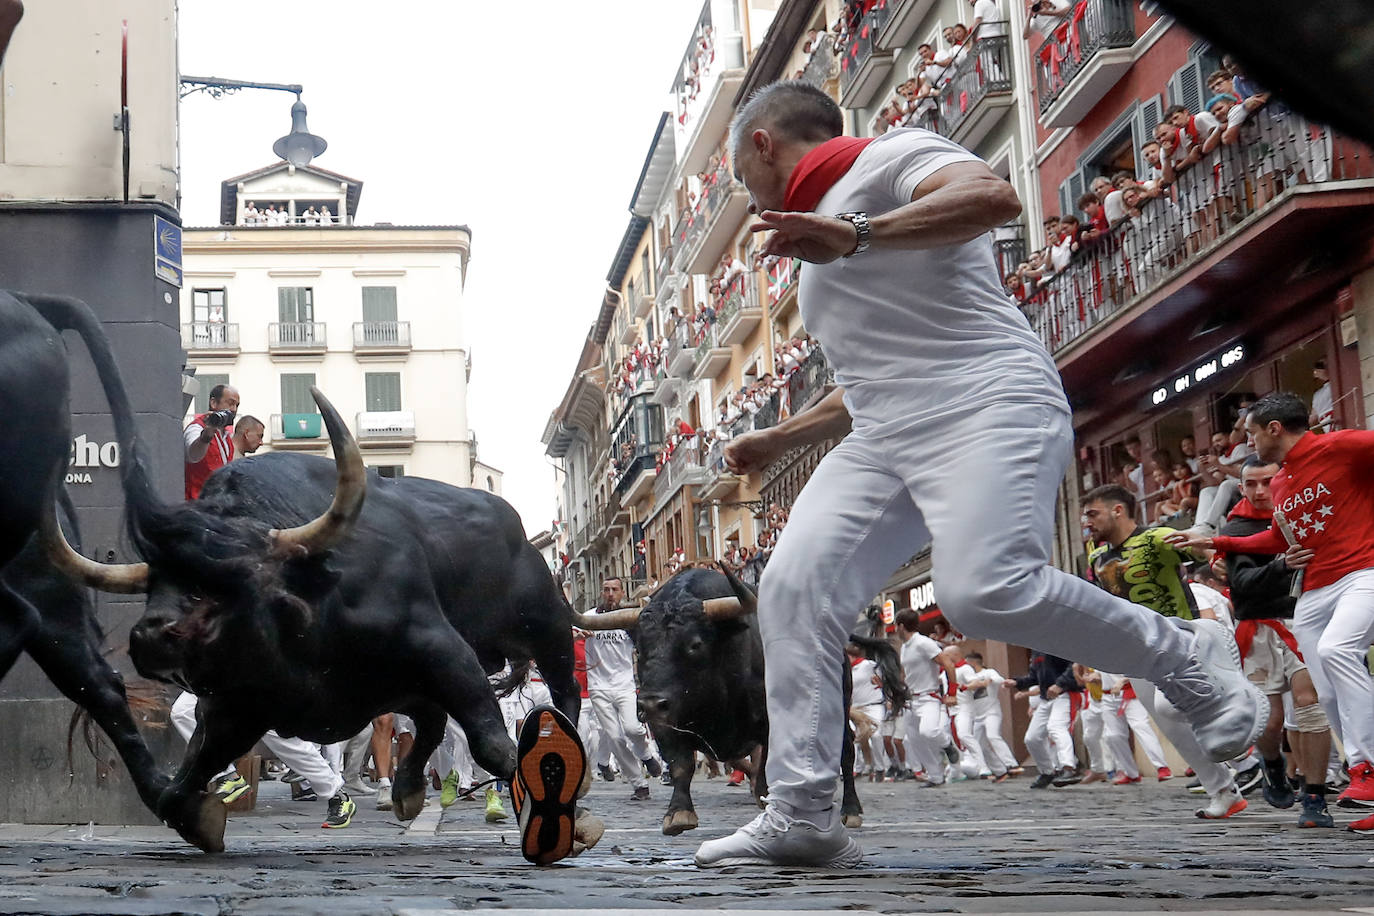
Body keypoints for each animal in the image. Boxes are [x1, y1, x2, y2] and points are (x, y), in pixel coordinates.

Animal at [574, 568, 906, 840]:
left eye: (695, 645)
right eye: (640, 649)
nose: (651, 704)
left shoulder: (771, 721)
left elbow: (768, 762)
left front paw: (768, 799)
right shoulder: (667, 726)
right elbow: (682, 766)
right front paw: (678, 813)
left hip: (837, 703)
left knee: (846, 753)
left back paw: (850, 810)